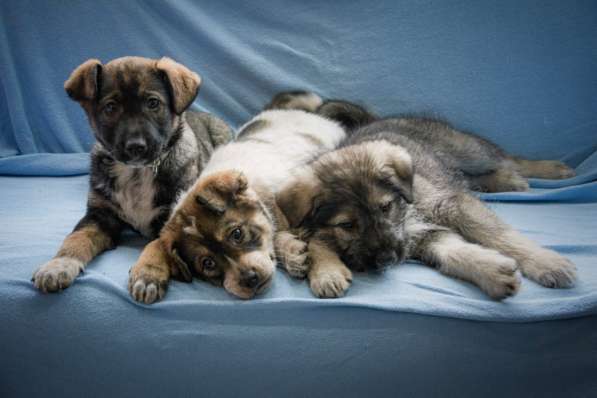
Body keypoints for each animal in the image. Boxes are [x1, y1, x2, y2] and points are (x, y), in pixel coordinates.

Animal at [31, 55, 233, 292]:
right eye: (110, 107)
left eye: (153, 103)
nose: (136, 147)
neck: (137, 172)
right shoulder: (100, 214)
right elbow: (76, 237)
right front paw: (58, 265)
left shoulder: (172, 220)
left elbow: (158, 245)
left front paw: (147, 273)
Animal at [280, 94, 576, 298]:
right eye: (346, 225)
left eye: (385, 207)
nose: (387, 260)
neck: (406, 212)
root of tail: (375, 119)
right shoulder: (423, 237)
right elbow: (455, 252)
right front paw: (491, 273)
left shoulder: (452, 205)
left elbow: (499, 234)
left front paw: (546, 263)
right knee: (474, 176)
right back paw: (506, 180)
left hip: (468, 151)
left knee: (507, 157)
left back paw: (549, 169)